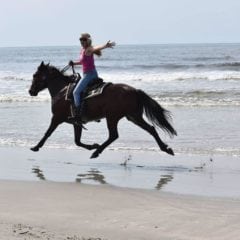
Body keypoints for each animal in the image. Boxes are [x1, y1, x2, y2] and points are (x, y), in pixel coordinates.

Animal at [29, 61, 177, 158]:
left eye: (35, 75)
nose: (31, 91)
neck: (62, 90)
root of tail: (135, 91)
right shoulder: (76, 123)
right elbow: (77, 141)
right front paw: (92, 145)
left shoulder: (56, 118)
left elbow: (47, 133)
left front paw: (36, 147)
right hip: (133, 116)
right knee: (151, 129)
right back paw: (166, 148)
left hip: (112, 117)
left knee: (113, 135)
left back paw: (97, 152)